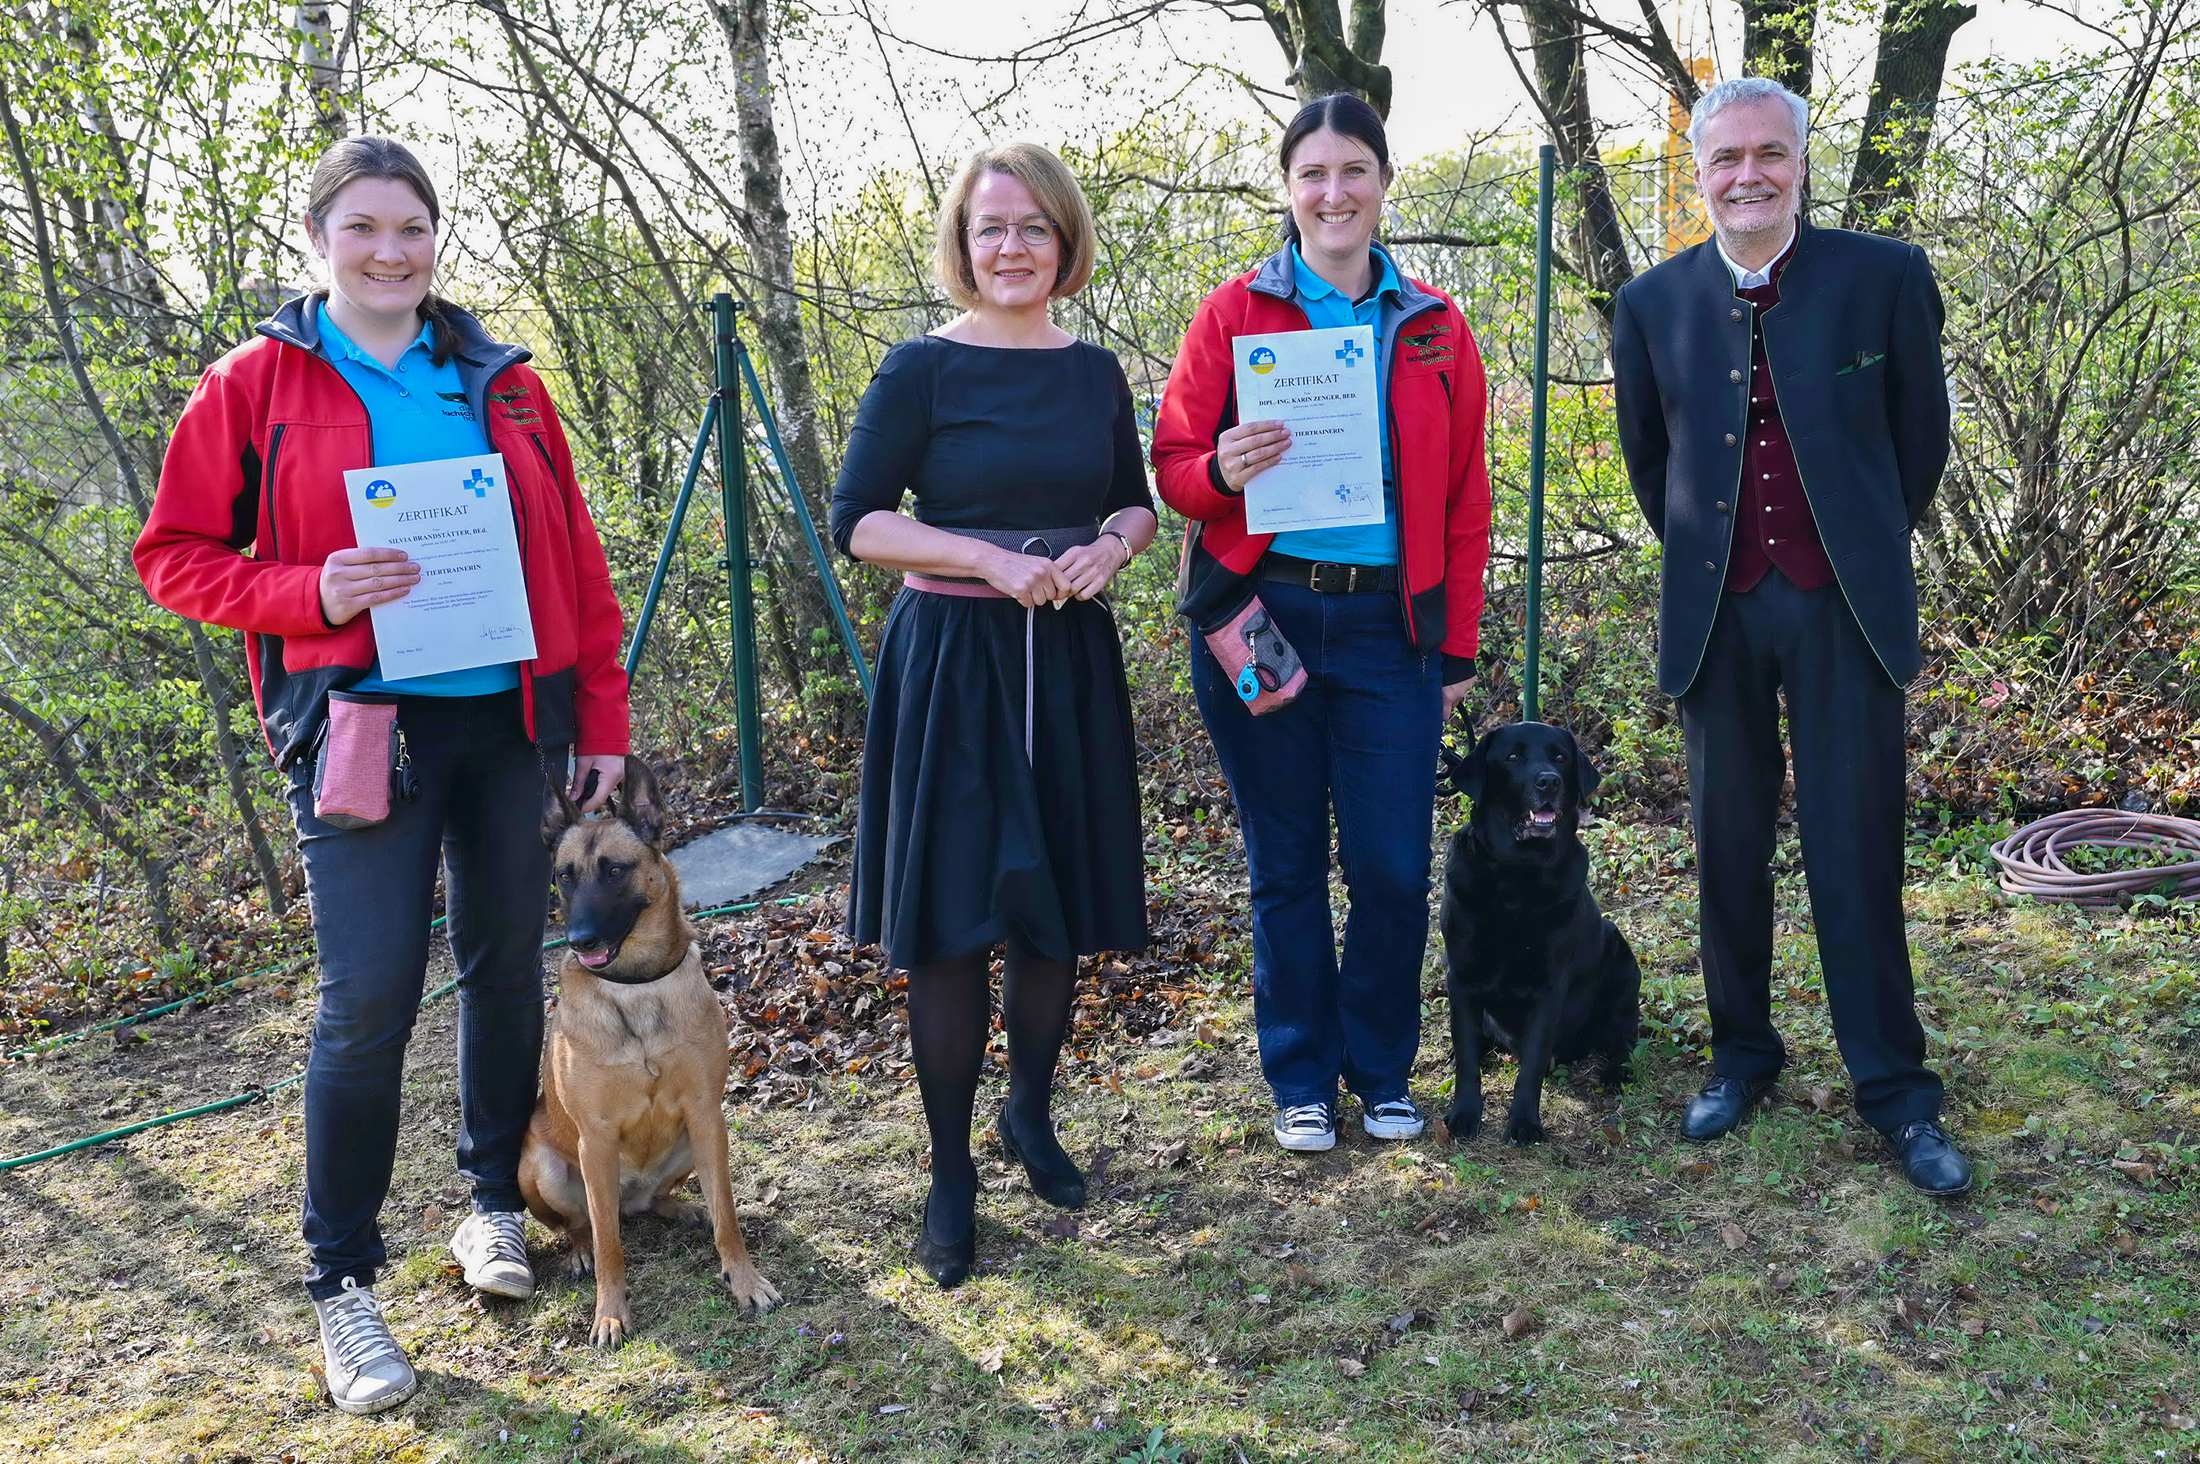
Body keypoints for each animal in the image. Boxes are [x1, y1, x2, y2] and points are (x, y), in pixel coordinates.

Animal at [521, 757, 783, 1338]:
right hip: (541, 1167)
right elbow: (609, 1244)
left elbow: (728, 1215)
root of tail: (633, 1197)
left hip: (694, 1142)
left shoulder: (707, 1113)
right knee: (583, 1224)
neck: (635, 986)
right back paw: (580, 1250)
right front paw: (610, 1312)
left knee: (661, 1201)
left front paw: (744, 1278)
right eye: (564, 876)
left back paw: (682, 1208)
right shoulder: (594, 1139)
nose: (578, 940)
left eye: (615, 870)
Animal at [1443, 717, 1636, 1144]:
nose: (1549, 781)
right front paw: (1464, 1114)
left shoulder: (1549, 987)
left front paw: (1524, 1123)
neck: (1518, 876)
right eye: (1513, 756)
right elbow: (1467, 1059)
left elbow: (1531, 1066)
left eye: (1560, 757)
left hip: (1620, 954)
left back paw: (1616, 1071)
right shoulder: (1460, 977)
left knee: (1624, 1039)